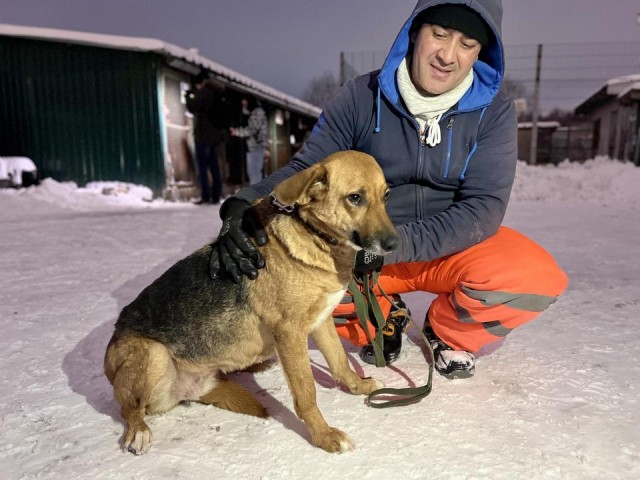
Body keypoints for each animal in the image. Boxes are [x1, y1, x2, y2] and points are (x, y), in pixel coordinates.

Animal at [103, 150, 398, 454]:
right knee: (130, 410)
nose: (393, 244)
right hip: (154, 353)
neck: (313, 235)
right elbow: (306, 393)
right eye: (355, 198)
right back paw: (138, 431)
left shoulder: (322, 320)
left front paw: (358, 386)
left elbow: (340, 362)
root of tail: (190, 390)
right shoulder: (290, 333)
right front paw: (324, 436)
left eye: (386, 195)